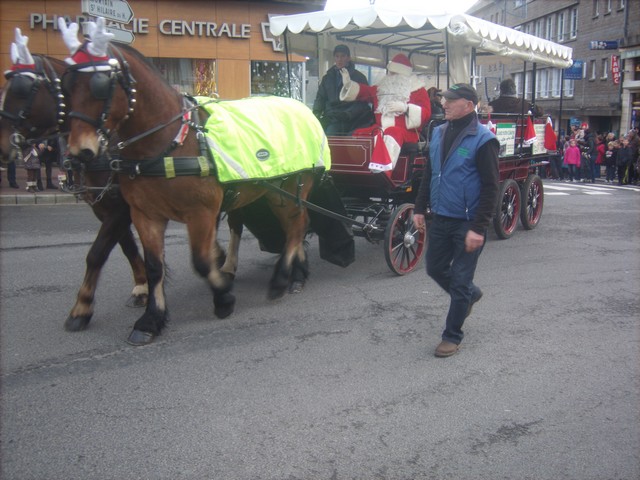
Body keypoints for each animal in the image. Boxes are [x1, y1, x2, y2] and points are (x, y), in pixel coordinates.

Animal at [0, 35, 148, 332]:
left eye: (22, 89)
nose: (1, 147)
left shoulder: (120, 208)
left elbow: (97, 252)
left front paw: (82, 308)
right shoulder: (105, 207)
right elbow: (126, 247)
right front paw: (141, 287)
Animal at [59, 18, 328, 344]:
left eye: (100, 85)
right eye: (65, 87)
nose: (79, 153)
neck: (171, 142)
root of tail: (303, 110)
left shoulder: (201, 212)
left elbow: (200, 261)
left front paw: (223, 297)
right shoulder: (144, 214)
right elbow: (154, 267)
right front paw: (150, 319)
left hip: (290, 188)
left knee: (297, 225)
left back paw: (282, 279)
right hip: (273, 191)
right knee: (295, 227)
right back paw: (296, 273)